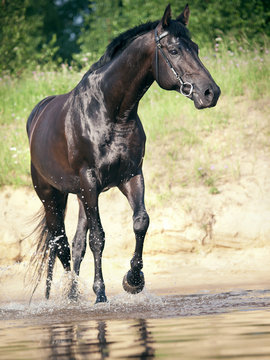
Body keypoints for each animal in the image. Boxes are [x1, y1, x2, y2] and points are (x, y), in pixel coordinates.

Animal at [26, 4, 220, 304]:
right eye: (174, 50)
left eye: (196, 48)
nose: (211, 93)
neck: (111, 111)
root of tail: (35, 118)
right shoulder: (90, 180)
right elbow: (98, 238)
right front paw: (100, 293)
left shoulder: (130, 176)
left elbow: (140, 222)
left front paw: (134, 280)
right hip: (51, 197)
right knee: (60, 245)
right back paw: (70, 294)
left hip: (80, 196)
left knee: (75, 244)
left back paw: (73, 294)